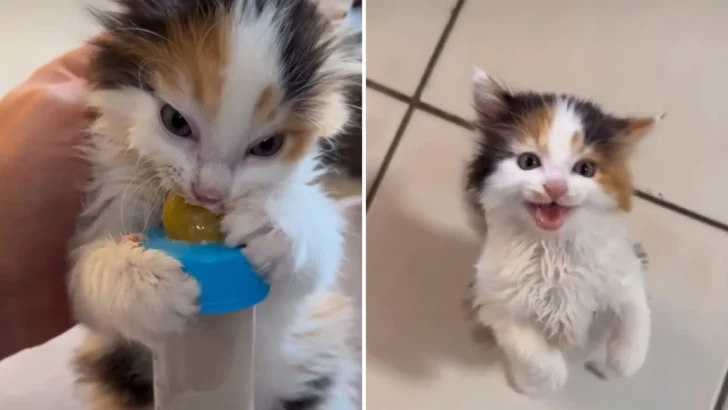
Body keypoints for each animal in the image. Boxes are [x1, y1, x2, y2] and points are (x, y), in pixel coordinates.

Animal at [69, 0, 360, 410]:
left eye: (267, 146)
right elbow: (86, 284)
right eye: (175, 121)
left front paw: (271, 222)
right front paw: (146, 282)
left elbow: (318, 260)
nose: (209, 193)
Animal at [466, 69, 660, 396]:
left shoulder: (622, 270)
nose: (555, 188)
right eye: (528, 162)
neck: (555, 250)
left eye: (585, 169)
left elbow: (636, 314)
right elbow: (527, 345)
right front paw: (548, 378)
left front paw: (621, 362)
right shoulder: (496, 298)